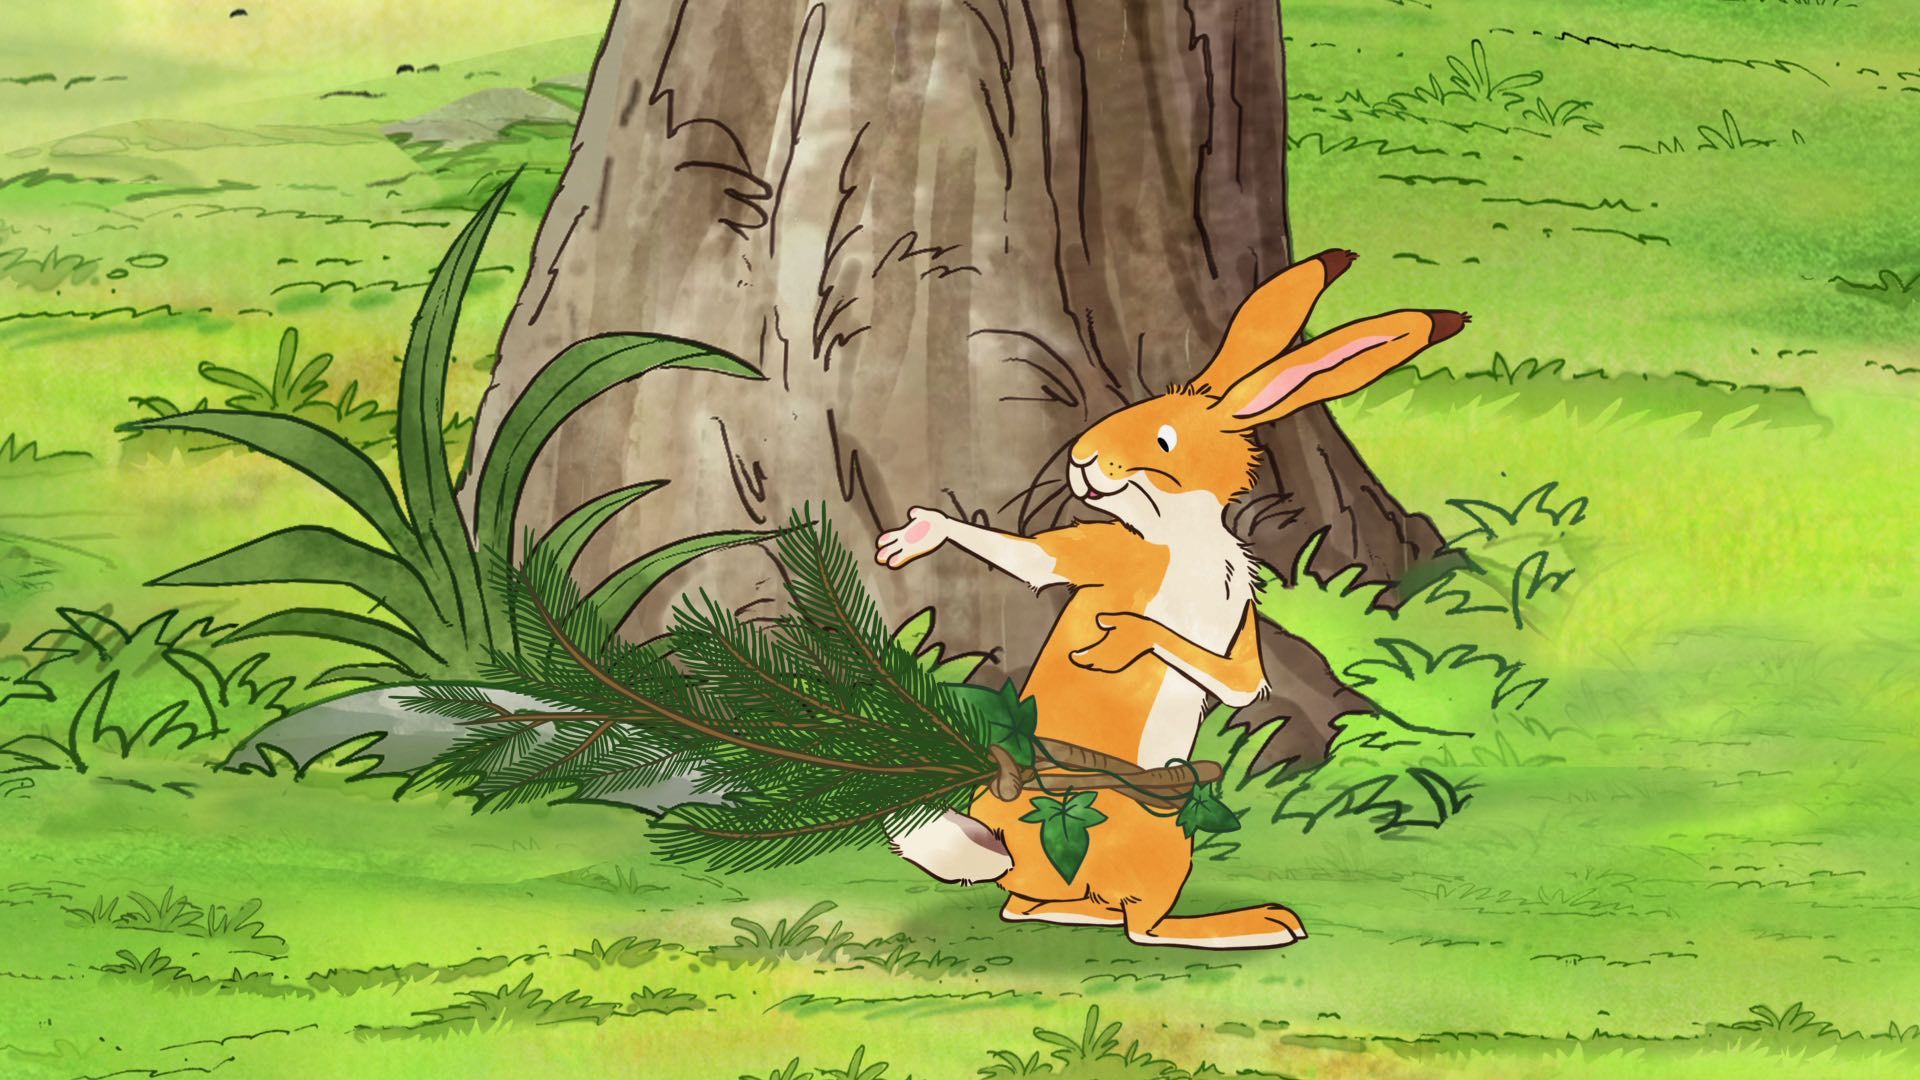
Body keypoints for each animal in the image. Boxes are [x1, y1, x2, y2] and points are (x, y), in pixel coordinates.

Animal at [875, 249, 1466, 948]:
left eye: (1163, 439)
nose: (1082, 459)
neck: (1178, 536)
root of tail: (1009, 855)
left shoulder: (1239, 630)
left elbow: (1238, 682)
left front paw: (1123, 640)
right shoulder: (1103, 552)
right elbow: (1037, 560)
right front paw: (920, 534)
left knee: (1066, 913)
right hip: (1157, 842)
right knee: (1123, 925)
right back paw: (1254, 923)